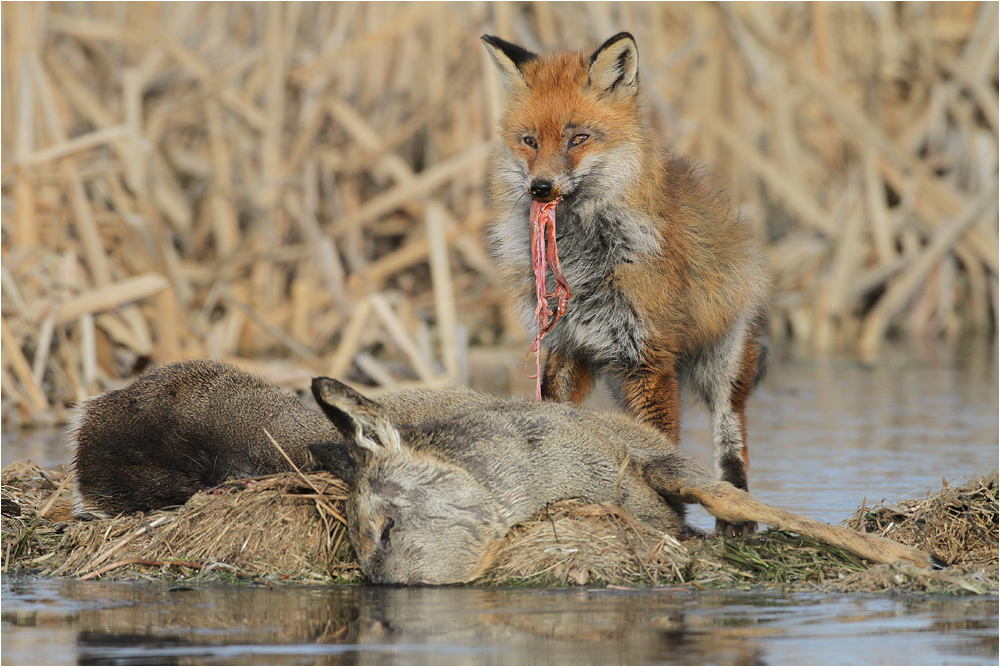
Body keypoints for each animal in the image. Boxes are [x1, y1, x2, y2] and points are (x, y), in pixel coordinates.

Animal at [480, 34, 768, 540]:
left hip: (722, 366)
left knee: (731, 433)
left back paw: (737, 511)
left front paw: (670, 515)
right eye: (529, 141)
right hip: (618, 377)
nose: (540, 188)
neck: (585, 263)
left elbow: (663, 445)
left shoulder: (648, 359)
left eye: (578, 138)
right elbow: (555, 415)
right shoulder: (568, 345)